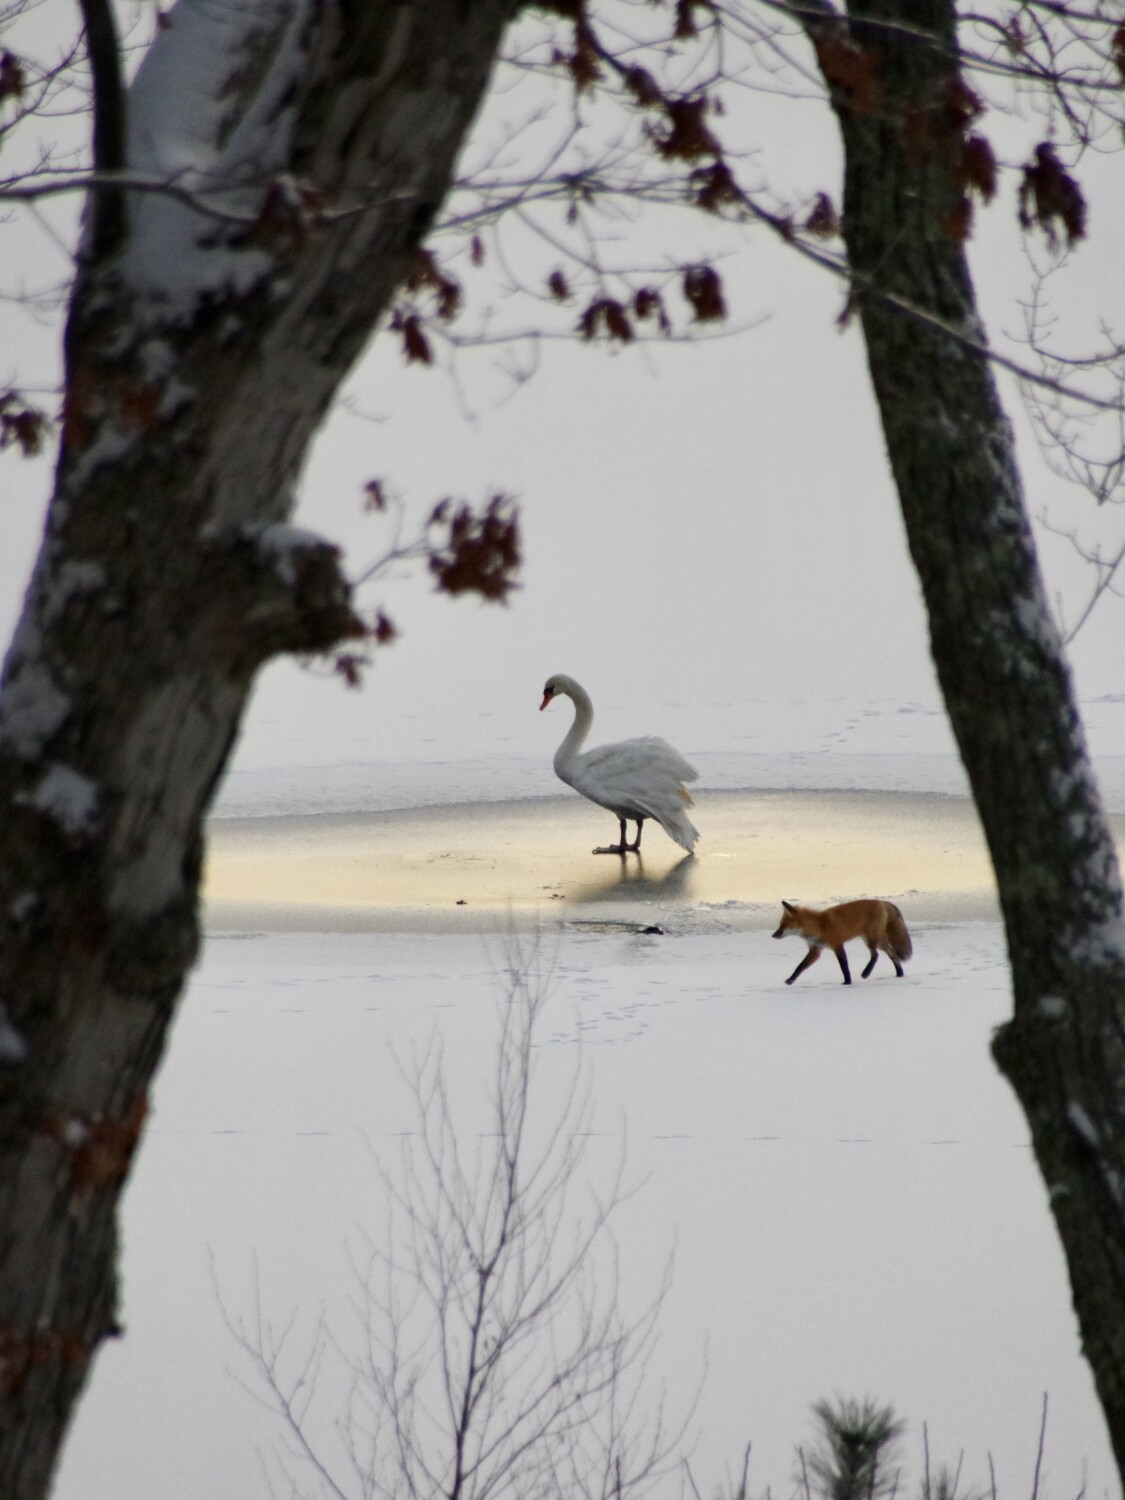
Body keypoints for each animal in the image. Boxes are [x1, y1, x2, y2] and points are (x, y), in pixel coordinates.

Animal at [772, 898, 913, 986]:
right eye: (780, 925)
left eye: (783, 926)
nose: (773, 935)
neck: (819, 926)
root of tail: (882, 901)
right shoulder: (816, 950)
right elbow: (800, 967)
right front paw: (790, 980)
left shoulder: (837, 944)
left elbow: (844, 966)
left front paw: (847, 982)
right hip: (877, 941)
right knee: (892, 954)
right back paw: (899, 974)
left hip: (871, 939)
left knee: (876, 955)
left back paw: (866, 973)